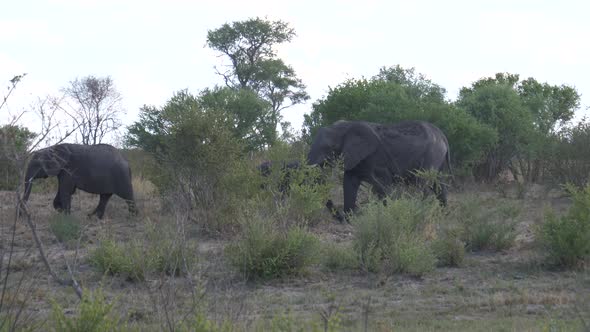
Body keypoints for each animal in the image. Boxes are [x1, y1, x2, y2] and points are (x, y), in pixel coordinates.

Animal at [310, 119, 454, 218]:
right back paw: (443, 214)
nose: (339, 217)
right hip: (438, 157)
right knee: (439, 184)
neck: (345, 127)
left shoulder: (376, 157)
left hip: (431, 154)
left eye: (329, 147)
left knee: (422, 184)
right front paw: (350, 218)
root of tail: (442, 135)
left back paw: (420, 211)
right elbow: (350, 182)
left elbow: (383, 182)